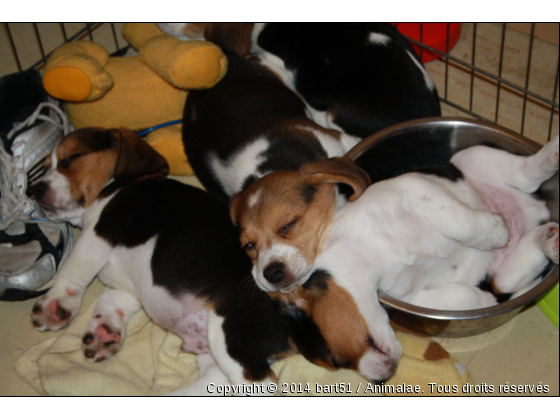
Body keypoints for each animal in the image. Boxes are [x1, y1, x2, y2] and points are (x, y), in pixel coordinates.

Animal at [27, 128, 394, 394]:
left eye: (72, 159)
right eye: (43, 167)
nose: (34, 190)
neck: (117, 186)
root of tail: (296, 306)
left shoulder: (100, 233)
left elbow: (72, 271)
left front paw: (54, 308)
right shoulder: (126, 288)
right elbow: (109, 300)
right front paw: (104, 331)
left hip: (229, 335)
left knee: (262, 384)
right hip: (215, 356)